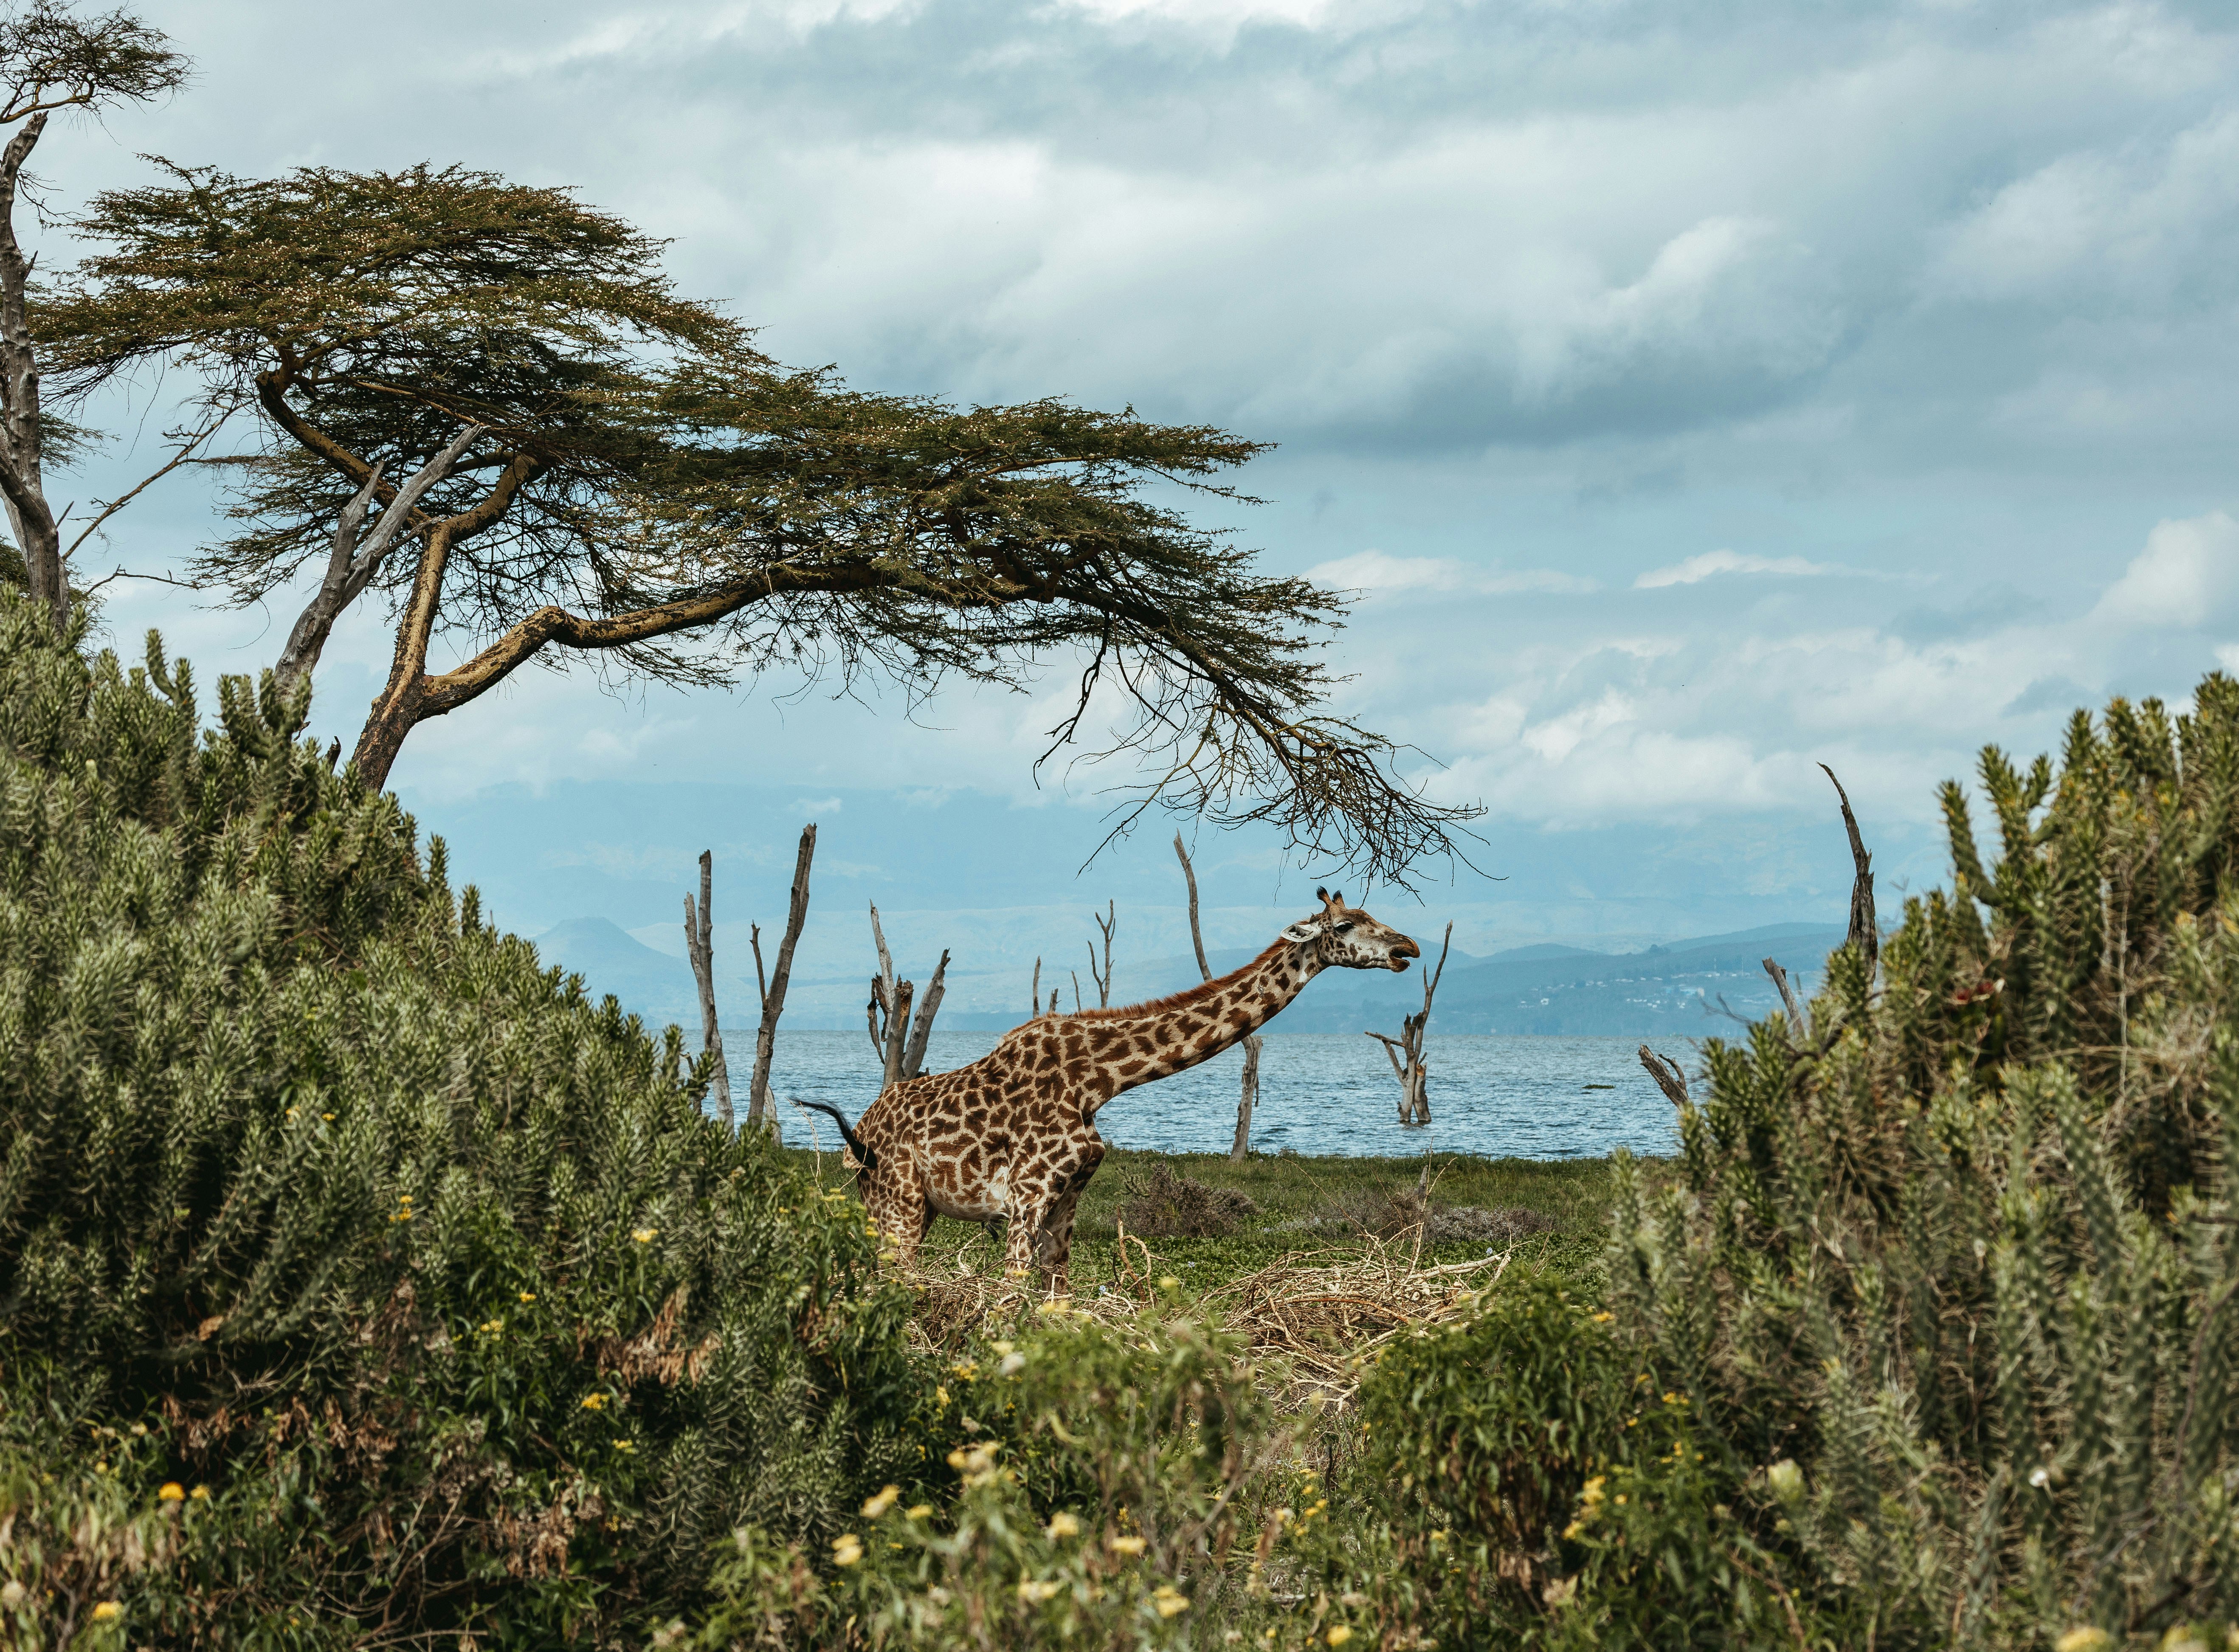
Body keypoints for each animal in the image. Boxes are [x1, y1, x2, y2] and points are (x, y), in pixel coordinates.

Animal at [793, 887, 1420, 1292]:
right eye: (1344, 926)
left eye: (1373, 914)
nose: (1407, 948)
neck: (1098, 1082)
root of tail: (860, 1131)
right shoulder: (1026, 1194)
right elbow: (1007, 1299)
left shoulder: (1068, 1196)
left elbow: (1056, 1300)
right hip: (896, 1200)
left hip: (908, 1207)